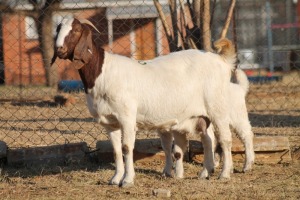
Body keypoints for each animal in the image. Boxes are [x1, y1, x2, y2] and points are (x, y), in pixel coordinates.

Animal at [52, 17, 238, 188]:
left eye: (76, 30)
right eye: (58, 28)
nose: (59, 49)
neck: (102, 72)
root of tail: (222, 61)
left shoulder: (127, 117)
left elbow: (127, 148)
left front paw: (127, 180)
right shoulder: (110, 123)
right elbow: (116, 151)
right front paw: (115, 179)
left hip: (218, 108)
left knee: (225, 139)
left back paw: (224, 174)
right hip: (202, 115)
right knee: (208, 139)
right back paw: (206, 172)